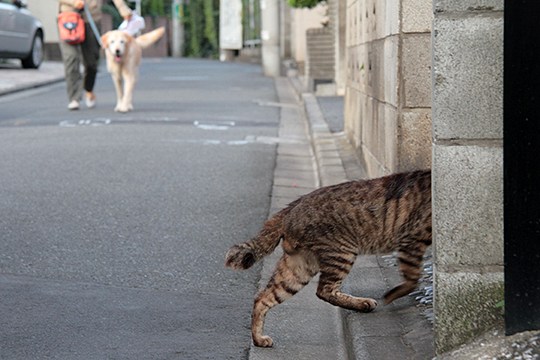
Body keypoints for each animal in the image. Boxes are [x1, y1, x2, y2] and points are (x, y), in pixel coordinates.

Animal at [226, 170, 432, 348]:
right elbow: (413, 278)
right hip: (342, 252)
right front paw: (392, 295)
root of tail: (291, 207)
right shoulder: (412, 240)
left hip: (299, 268)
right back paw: (363, 303)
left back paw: (258, 339)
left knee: (263, 297)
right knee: (324, 290)